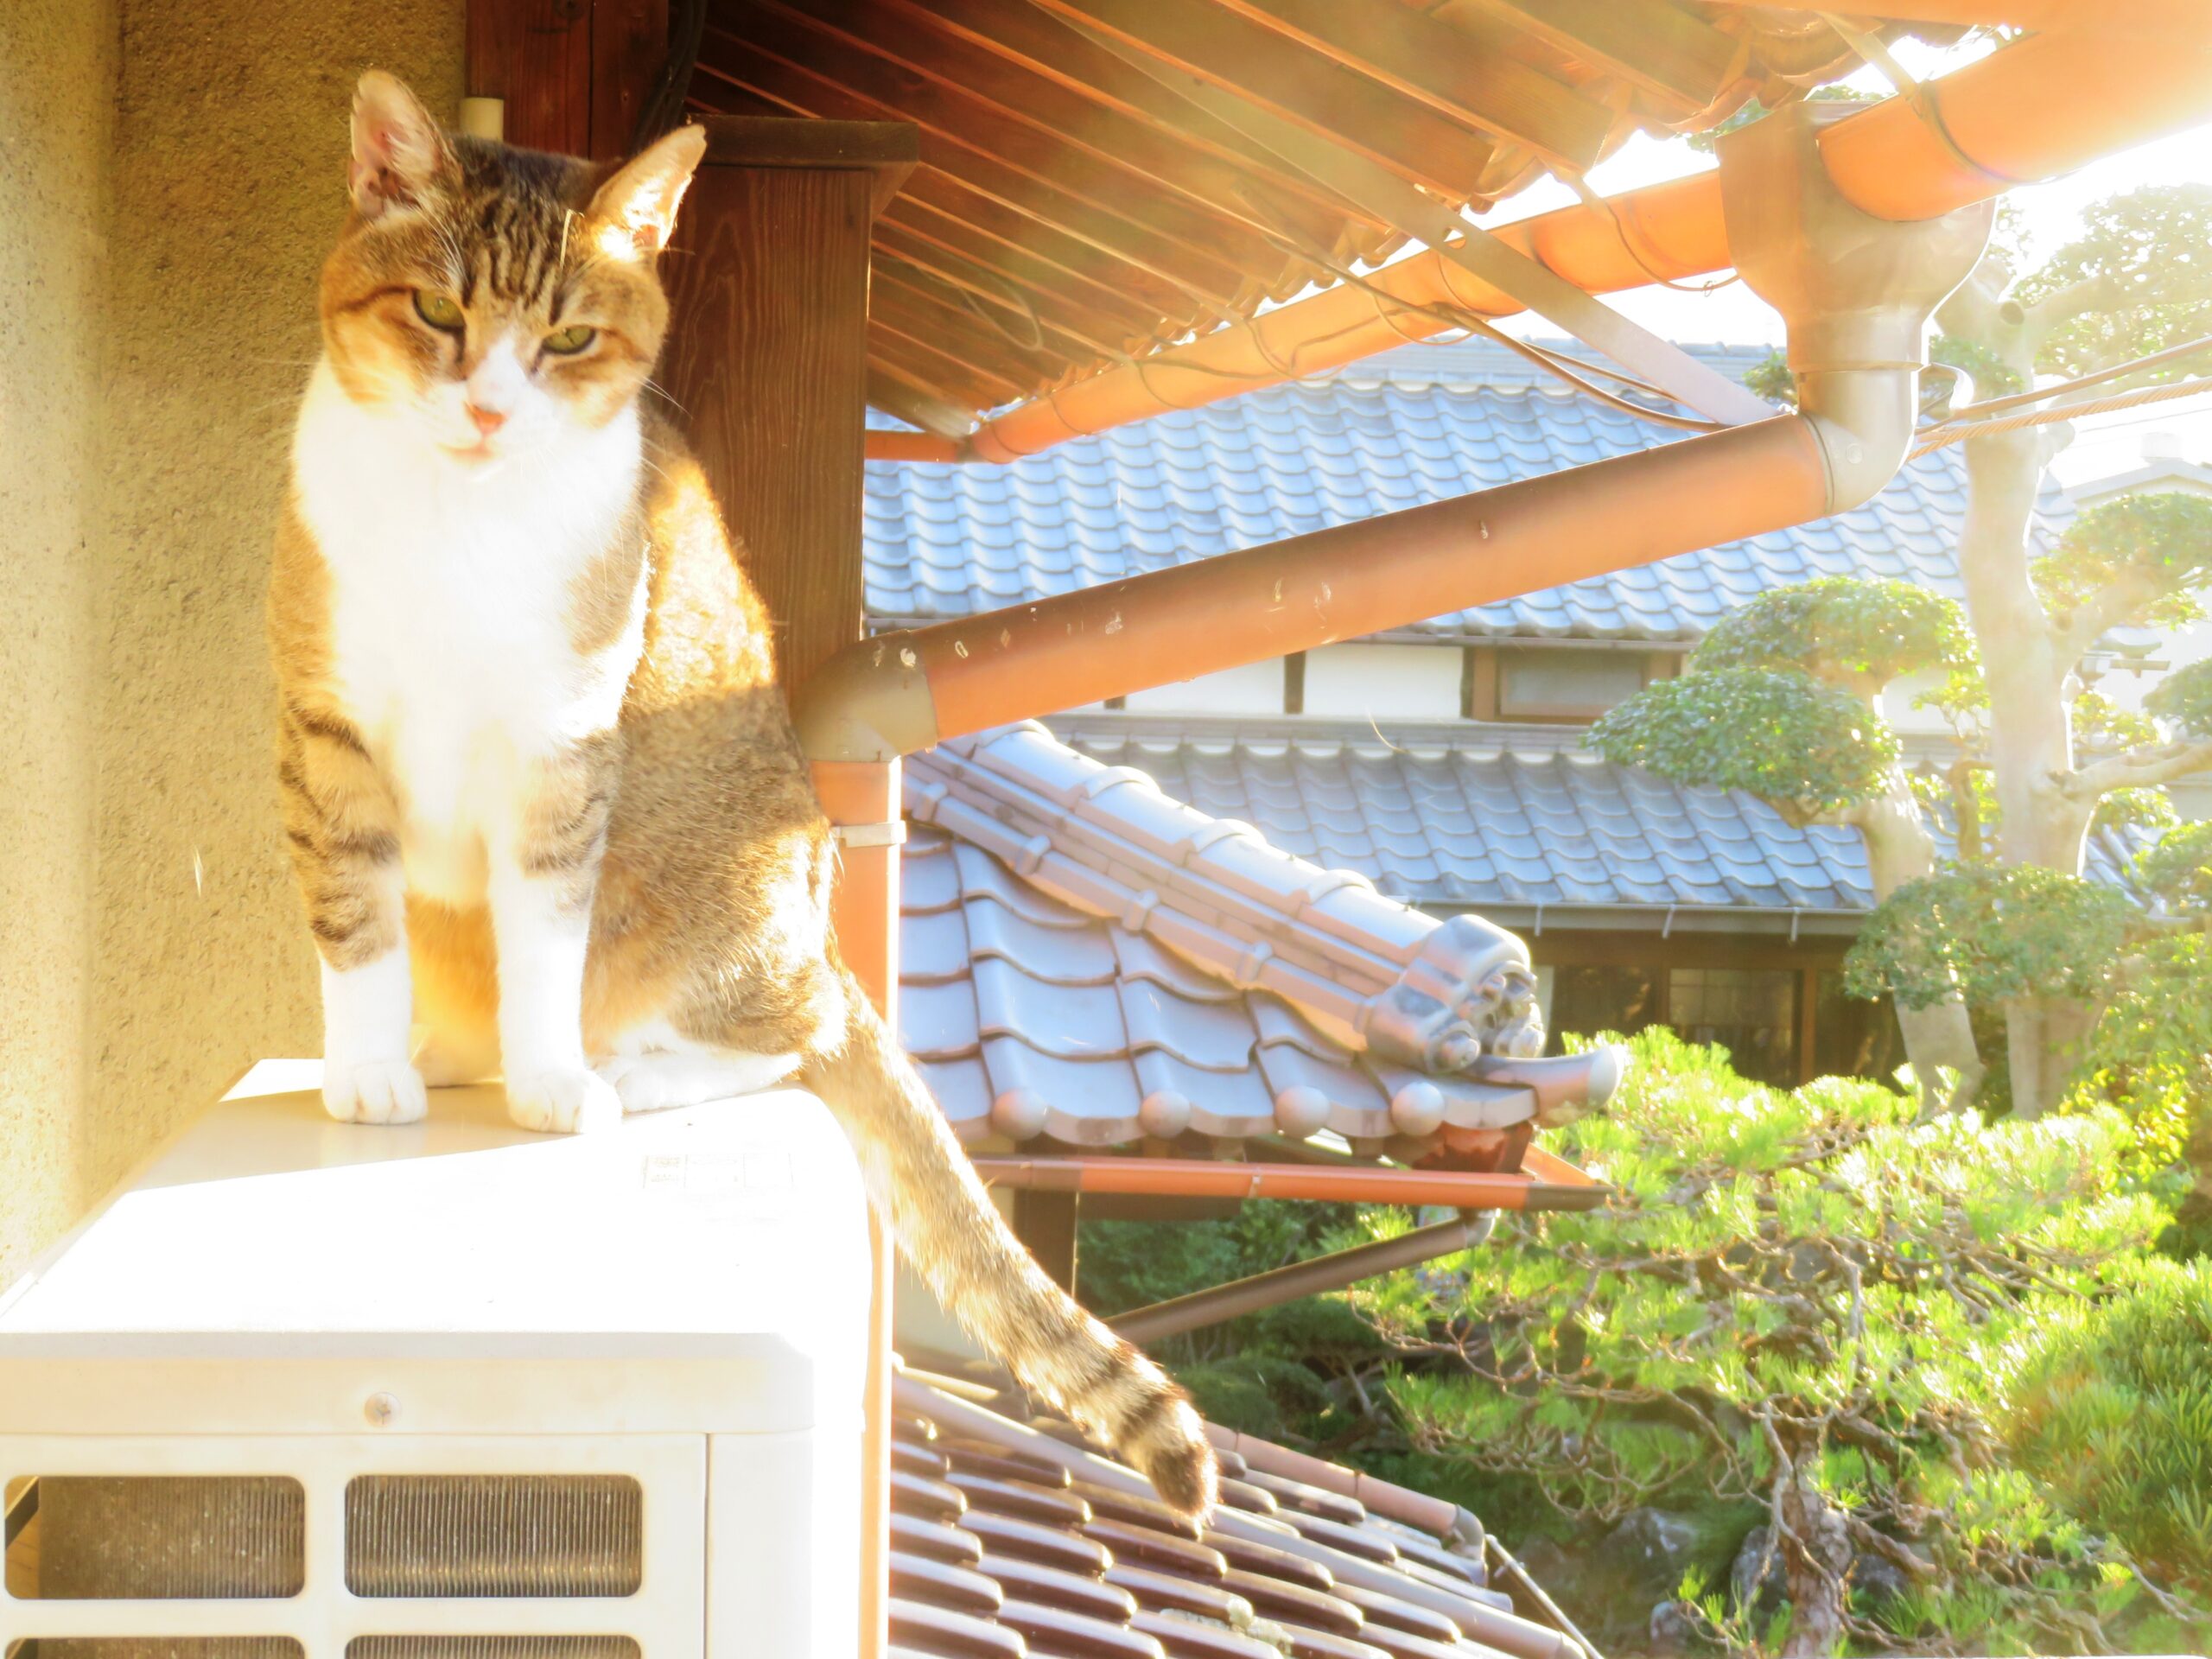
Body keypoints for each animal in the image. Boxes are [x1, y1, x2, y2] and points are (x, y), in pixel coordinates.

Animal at [271, 71, 1230, 1530]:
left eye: (567, 337)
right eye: (437, 312)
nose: (489, 410)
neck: (458, 522)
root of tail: (823, 933)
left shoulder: (566, 748)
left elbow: (543, 936)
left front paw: (550, 1082)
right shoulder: (325, 729)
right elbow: (355, 922)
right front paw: (370, 1065)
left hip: (721, 910)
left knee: (790, 1033)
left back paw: (623, 1068)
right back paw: (443, 1049)